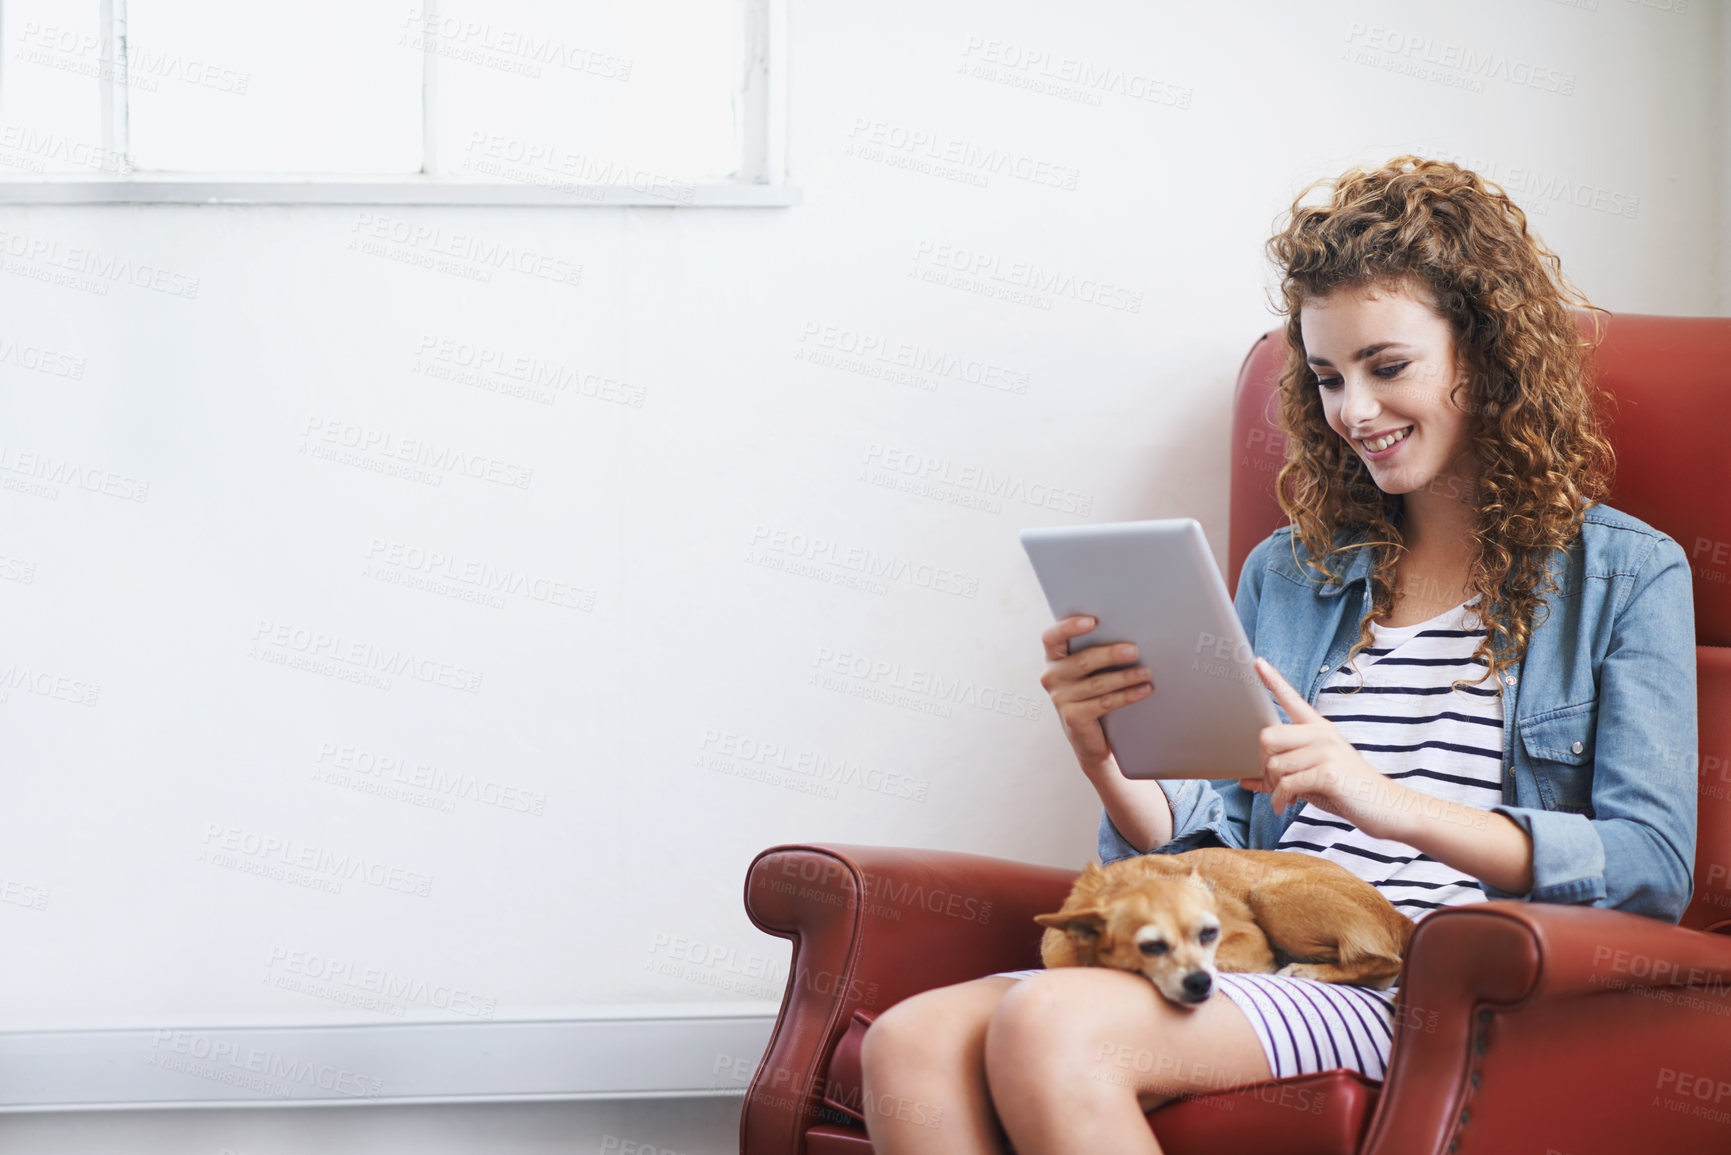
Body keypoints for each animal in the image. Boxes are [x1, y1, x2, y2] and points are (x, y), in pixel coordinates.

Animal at [1031, 855, 1412, 1004]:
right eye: (1151, 946)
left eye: (1208, 934)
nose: (1199, 984)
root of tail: (1400, 918)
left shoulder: (1250, 940)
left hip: (1268, 893)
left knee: (1386, 964)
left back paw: (1308, 970)